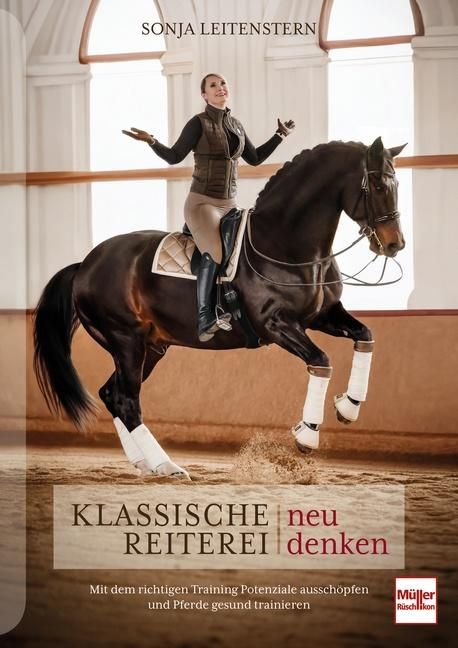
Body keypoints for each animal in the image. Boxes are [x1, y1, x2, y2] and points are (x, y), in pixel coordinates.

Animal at [33, 137, 406, 479]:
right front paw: (307, 435)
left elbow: (365, 336)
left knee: (112, 394)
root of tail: (84, 265)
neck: (287, 245)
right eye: (376, 184)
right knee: (127, 400)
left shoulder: (322, 316)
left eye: (397, 184)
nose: (394, 244)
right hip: (127, 341)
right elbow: (322, 361)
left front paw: (349, 407)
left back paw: (145, 463)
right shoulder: (276, 324)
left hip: (150, 347)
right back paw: (167, 466)